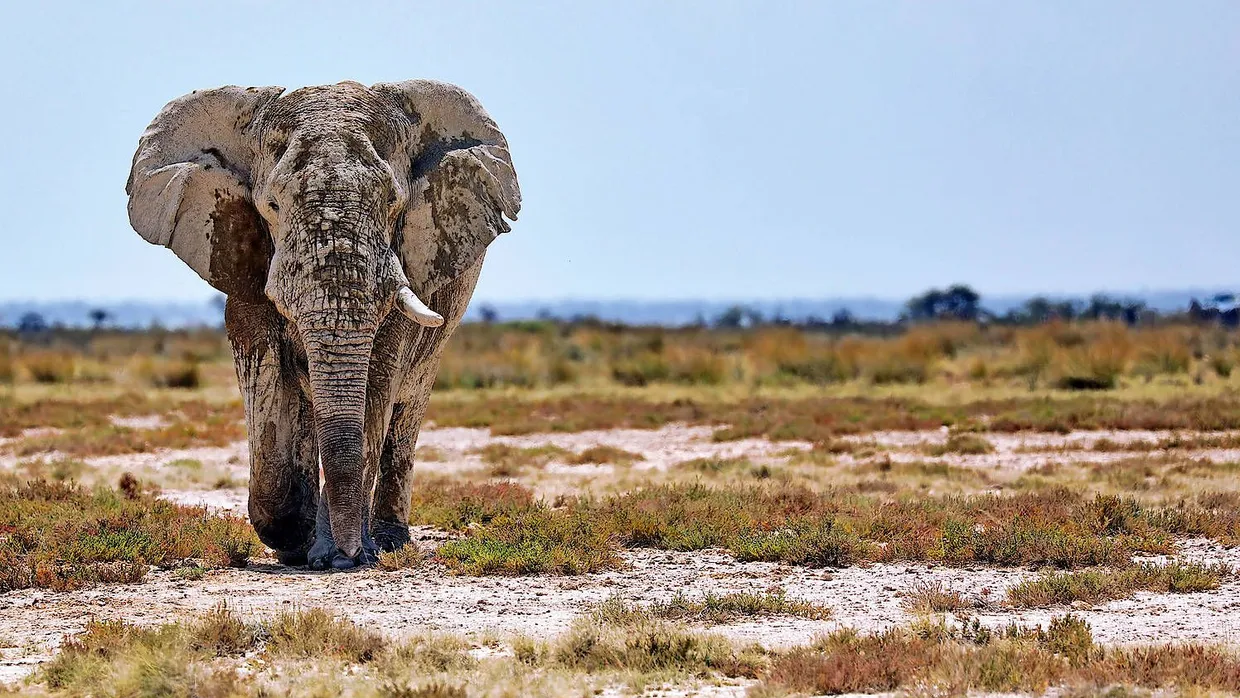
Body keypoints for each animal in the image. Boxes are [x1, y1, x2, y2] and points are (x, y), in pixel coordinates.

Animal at [125, 80, 520, 569]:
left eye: (394, 202)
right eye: (272, 205)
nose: (351, 555)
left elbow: (375, 388)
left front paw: (341, 555)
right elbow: (266, 373)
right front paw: (298, 537)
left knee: (407, 412)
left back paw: (388, 539)